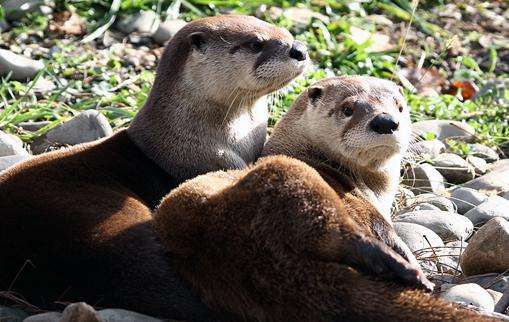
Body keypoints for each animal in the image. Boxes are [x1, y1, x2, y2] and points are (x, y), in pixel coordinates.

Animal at [154, 76, 496, 320]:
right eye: (348, 109)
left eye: (400, 106)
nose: (385, 121)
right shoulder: (365, 207)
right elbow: (384, 229)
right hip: (290, 178)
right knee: (340, 231)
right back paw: (412, 273)